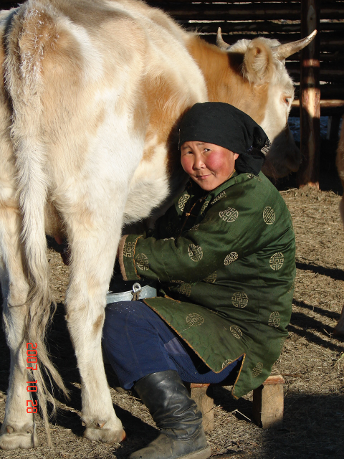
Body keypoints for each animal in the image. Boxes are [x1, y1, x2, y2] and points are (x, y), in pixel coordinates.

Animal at [0, 0, 316, 452]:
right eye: (288, 95)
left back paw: (16, 424)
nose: (293, 160)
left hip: (9, 206)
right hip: (93, 202)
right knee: (82, 305)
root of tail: (34, 20)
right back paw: (103, 420)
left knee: (17, 304)